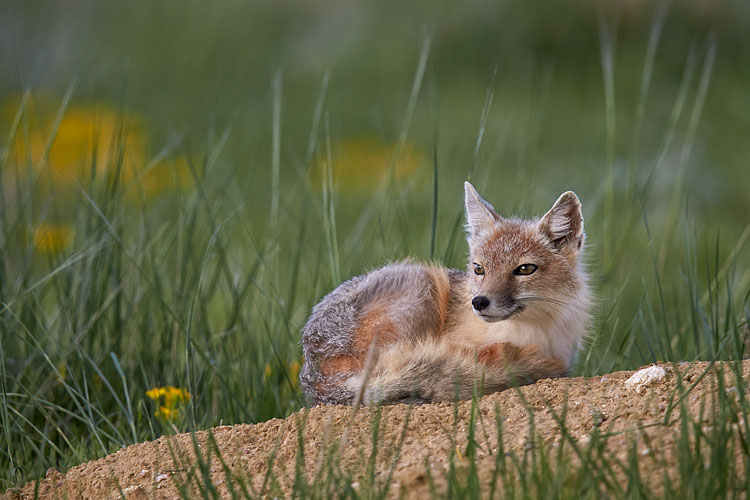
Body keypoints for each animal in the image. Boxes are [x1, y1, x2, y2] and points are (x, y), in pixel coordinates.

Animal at [300, 184, 592, 406]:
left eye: (525, 269)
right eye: (479, 269)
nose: (478, 302)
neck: (536, 331)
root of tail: (314, 379)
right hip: (424, 283)